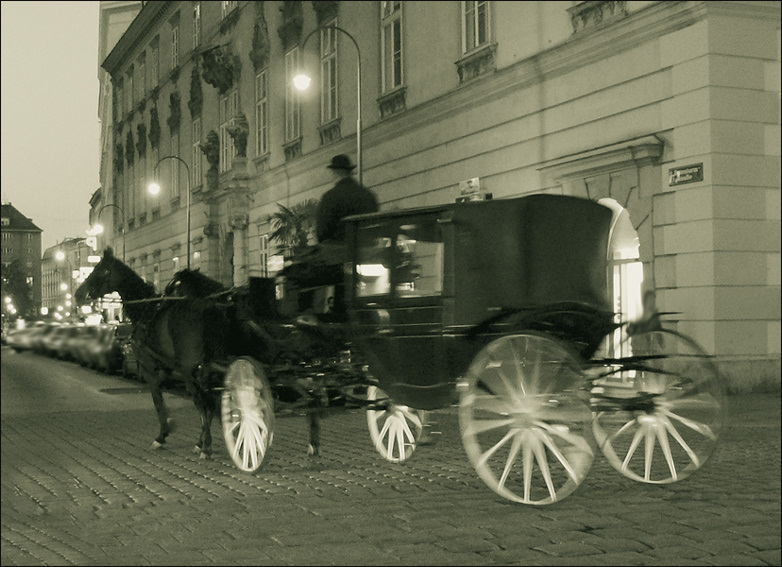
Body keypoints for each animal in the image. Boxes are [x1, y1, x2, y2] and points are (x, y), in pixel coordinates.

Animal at [74, 250, 231, 462]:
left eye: (102, 270)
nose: (78, 294)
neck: (145, 310)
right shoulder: (165, 368)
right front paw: (174, 427)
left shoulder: (148, 367)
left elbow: (157, 400)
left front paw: (162, 435)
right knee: (210, 399)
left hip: (190, 368)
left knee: (205, 399)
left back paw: (206, 445)